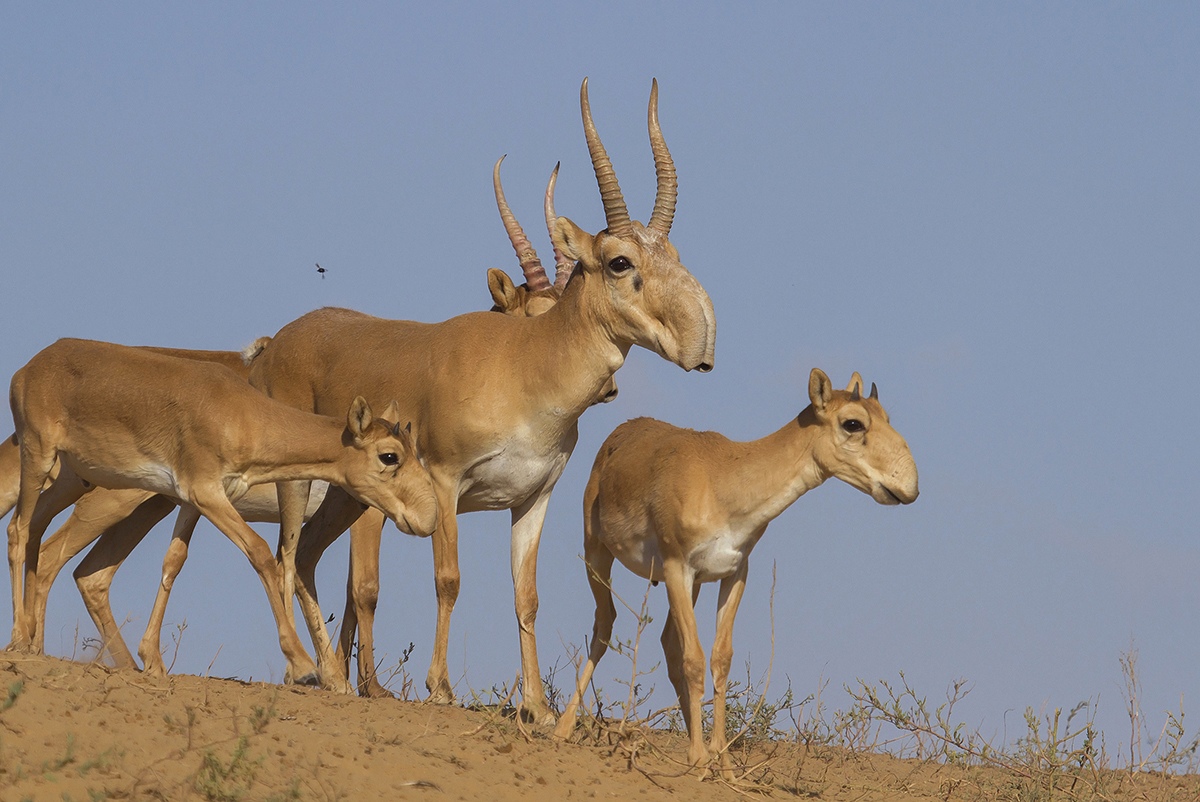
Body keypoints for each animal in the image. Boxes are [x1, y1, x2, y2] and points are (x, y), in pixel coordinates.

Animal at [5, 338, 441, 677]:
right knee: (20, 532)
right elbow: (262, 553)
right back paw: (19, 641)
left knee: (47, 545)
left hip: (72, 477)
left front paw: (153, 659)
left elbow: (174, 562)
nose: (429, 517)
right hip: (40, 457)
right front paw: (304, 667)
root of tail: (28, 369)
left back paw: (37, 643)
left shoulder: (191, 501)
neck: (241, 412)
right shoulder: (207, 494)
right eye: (389, 455)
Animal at [250, 79, 710, 720]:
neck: (522, 367)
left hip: (348, 499)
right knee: (288, 558)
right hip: (299, 488)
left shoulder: (533, 500)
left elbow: (527, 596)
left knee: (311, 558)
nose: (700, 341)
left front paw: (537, 707)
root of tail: (278, 342)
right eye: (620, 261)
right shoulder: (445, 484)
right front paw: (440, 688)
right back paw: (321, 676)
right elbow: (448, 579)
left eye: (674, 255)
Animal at [552, 372, 916, 777]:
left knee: (667, 642)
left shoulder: (733, 573)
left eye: (885, 415)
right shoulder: (678, 567)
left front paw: (722, 761)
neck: (725, 478)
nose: (909, 485)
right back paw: (562, 728)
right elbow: (694, 659)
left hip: (689, 585)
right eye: (853, 423)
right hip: (597, 554)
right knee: (604, 626)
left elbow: (719, 658)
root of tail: (620, 433)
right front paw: (699, 757)